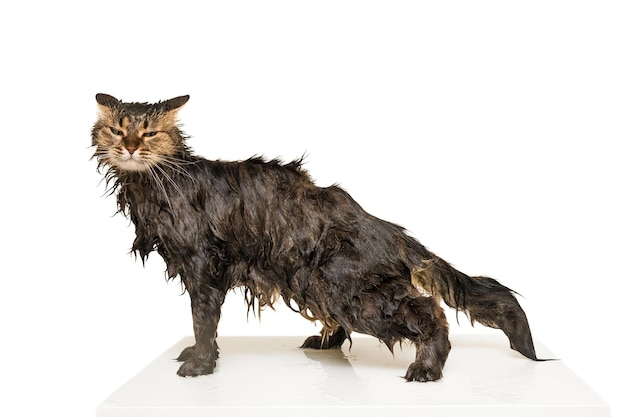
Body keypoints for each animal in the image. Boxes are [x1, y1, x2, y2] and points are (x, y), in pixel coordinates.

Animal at [90, 94, 540, 380]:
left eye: (149, 134)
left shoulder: (204, 267)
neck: (158, 184)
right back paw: (325, 342)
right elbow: (205, 327)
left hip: (349, 287)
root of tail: (382, 225)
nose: (130, 147)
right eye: (116, 130)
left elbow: (202, 322)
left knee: (429, 310)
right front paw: (201, 356)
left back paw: (427, 367)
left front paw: (200, 365)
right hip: (312, 279)